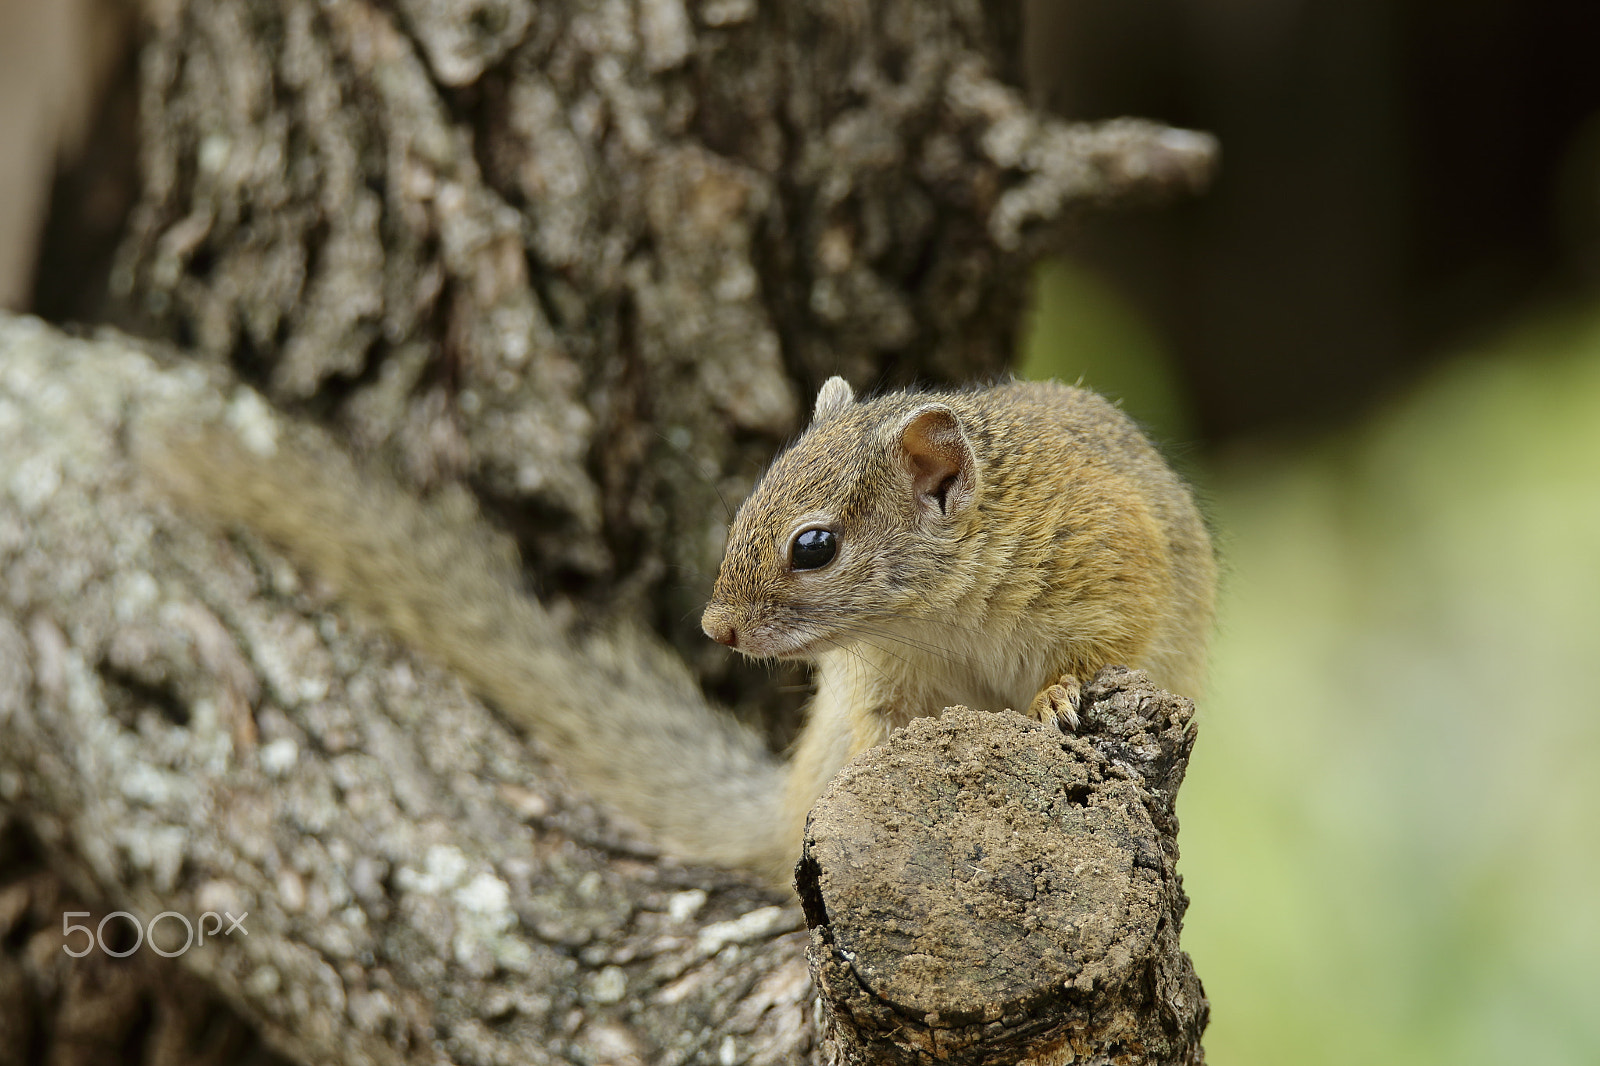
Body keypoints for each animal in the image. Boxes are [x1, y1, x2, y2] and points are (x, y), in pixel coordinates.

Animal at [146, 375, 1214, 891]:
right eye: (745, 500)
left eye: (815, 546)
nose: (716, 625)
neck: (940, 613)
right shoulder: (881, 673)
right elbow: (887, 722)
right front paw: (893, 751)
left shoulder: (1112, 568)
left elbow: (1098, 653)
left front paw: (1054, 695)